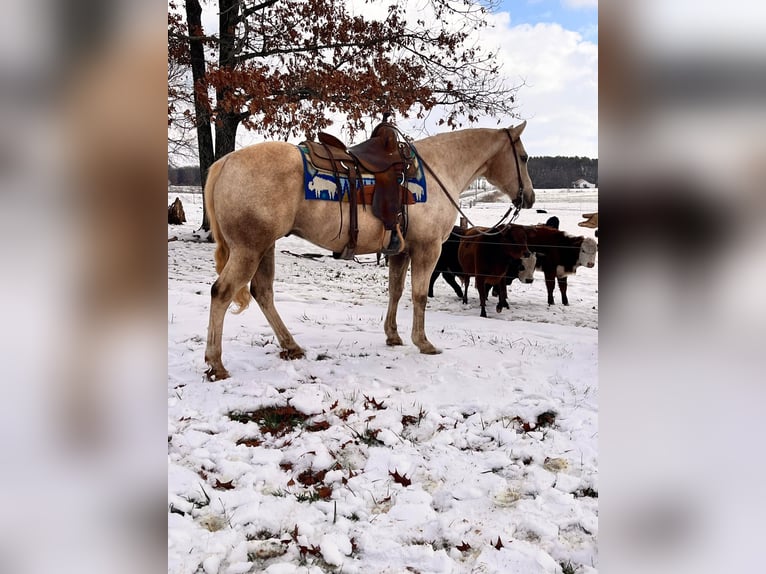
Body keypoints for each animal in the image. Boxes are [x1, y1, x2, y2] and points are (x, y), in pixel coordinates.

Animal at [203, 122, 535, 380]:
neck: (438, 170)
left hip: (264, 246)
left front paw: (393, 335)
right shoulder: (427, 249)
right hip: (249, 248)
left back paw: (291, 346)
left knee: (263, 292)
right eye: (523, 157)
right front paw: (423, 342)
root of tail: (225, 162)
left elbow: (396, 292)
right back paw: (216, 363)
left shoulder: (401, 251)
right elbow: (419, 295)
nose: (529, 197)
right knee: (222, 292)